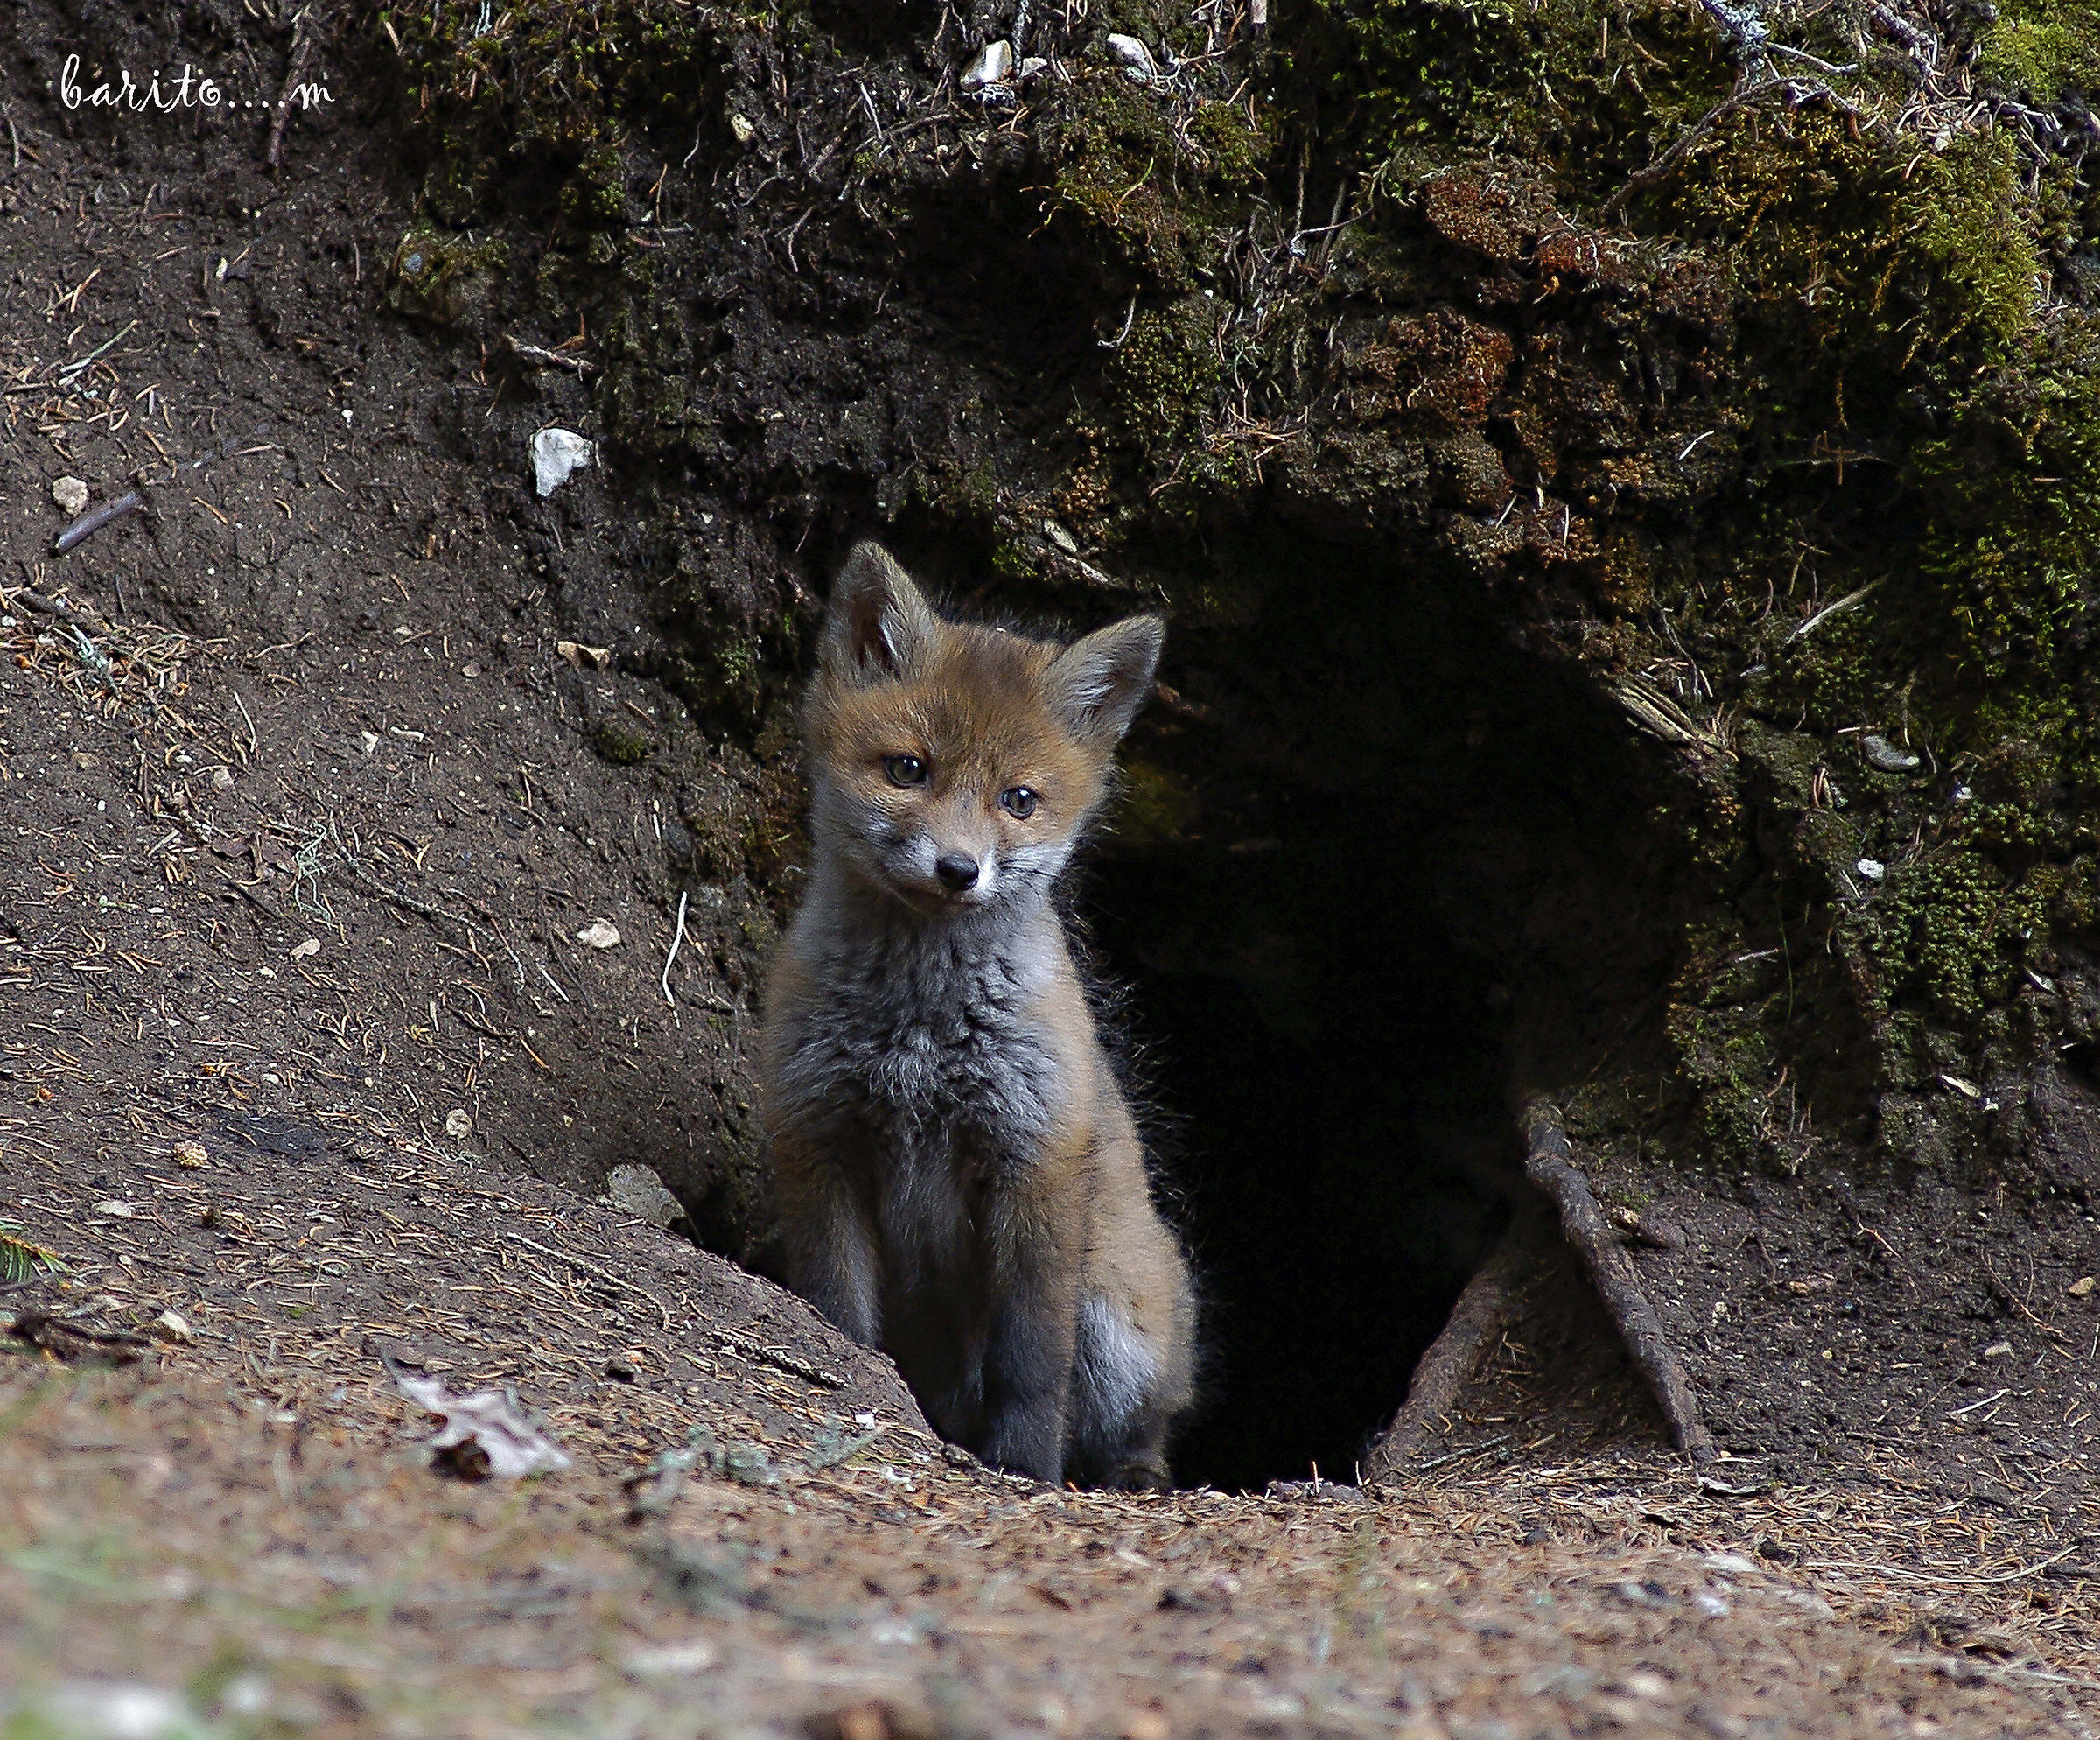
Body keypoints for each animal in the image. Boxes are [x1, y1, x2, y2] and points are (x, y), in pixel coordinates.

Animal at [759, 541, 1197, 1490]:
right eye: (908, 769)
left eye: (1019, 799)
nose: (959, 868)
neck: (920, 1031)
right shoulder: (819, 1135)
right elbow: (836, 1311)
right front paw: (852, 1376)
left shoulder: (1033, 1156)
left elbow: (1031, 1364)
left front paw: (1027, 1470)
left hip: (1117, 1317)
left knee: (1134, 1425)